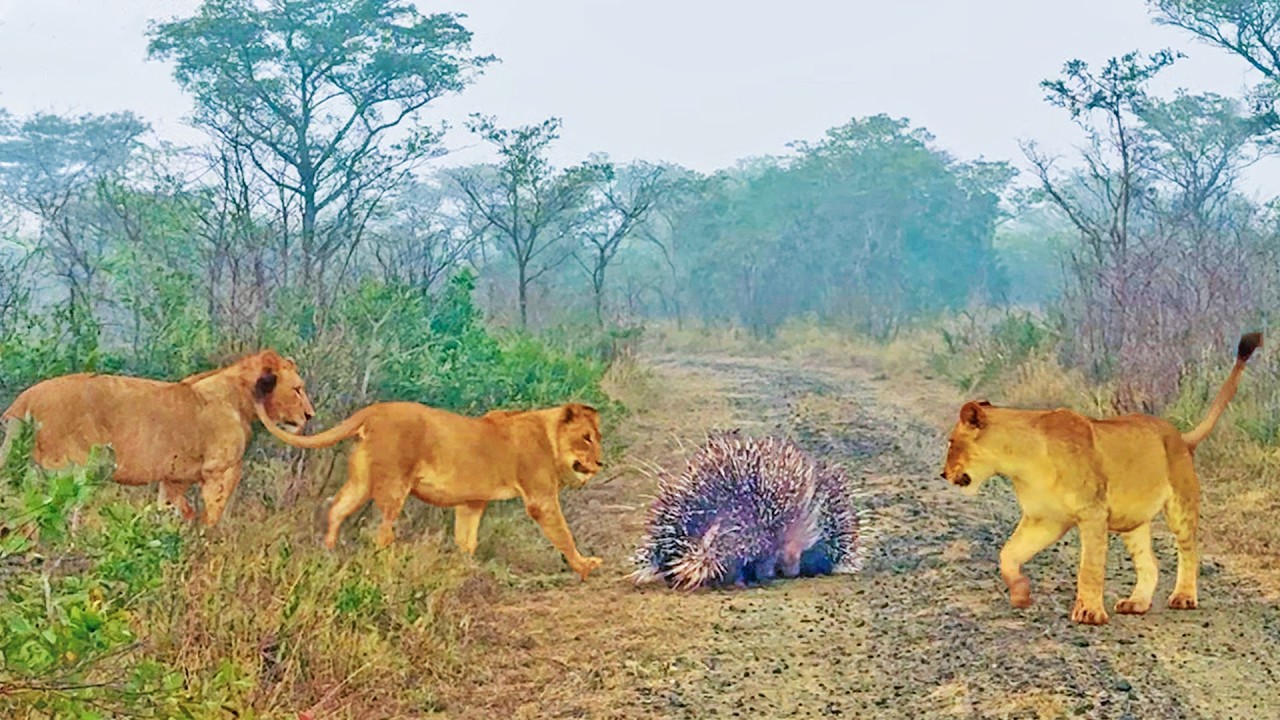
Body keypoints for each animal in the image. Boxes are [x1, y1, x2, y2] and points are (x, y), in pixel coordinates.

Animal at [2, 350, 315, 526]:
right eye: (297, 389)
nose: (310, 415)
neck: (242, 399)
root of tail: (25, 398)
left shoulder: (174, 480)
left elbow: (174, 514)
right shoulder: (219, 472)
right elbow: (213, 519)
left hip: (33, 471)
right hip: (71, 471)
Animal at [253, 400, 606, 580]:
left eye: (598, 437)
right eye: (587, 438)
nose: (601, 463)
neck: (548, 435)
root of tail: (377, 408)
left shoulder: (472, 502)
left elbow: (467, 539)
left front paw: (465, 569)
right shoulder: (541, 499)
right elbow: (564, 534)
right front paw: (584, 565)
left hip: (361, 481)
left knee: (337, 508)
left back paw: (328, 552)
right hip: (395, 485)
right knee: (382, 531)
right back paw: (389, 562)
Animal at [940, 332, 1262, 625]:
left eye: (951, 442)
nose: (943, 473)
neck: (1019, 462)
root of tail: (1180, 436)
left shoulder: (1092, 513)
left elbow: (1090, 567)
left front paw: (1089, 613)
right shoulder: (1044, 519)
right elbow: (1008, 553)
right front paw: (1021, 594)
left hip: (1180, 506)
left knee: (1189, 551)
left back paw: (1183, 597)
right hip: (1132, 521)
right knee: (1150, 563)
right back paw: (1136, 603)